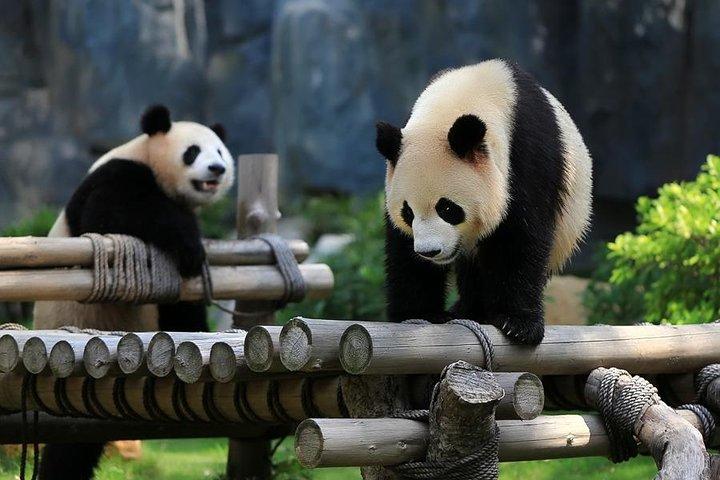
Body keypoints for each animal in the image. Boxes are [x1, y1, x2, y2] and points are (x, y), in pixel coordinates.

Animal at [33, 104, 234, 480]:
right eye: (193, 151)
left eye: (220, 151)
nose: (217, 169)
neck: (148, 155)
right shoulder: (117, 175)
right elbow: (112, 214)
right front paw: (190, 248)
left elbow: (182, 307)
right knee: (69, 445)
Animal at [376, 59, 592, 346]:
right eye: (408, 212)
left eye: (447, 208)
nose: (429, 251)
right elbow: (403, 251)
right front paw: (418, 313)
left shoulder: (526, 156)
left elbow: (521, 238)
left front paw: (518, 324)